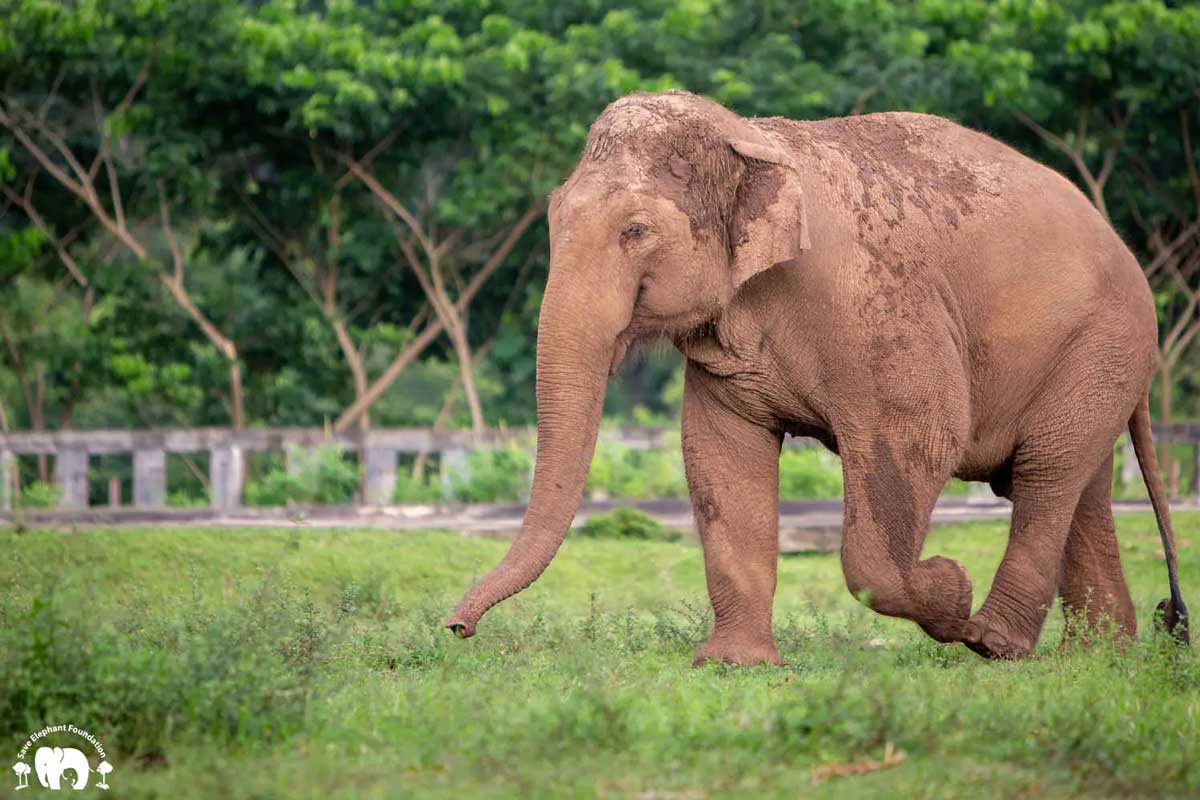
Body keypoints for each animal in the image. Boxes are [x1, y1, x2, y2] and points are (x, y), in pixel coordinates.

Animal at [446, 87, 1185, 666]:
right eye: (553, 219)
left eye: (635, 230)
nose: (456, 626)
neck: (752, 137)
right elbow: (719, 457)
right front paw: (733, 665)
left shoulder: (879, 305)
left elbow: (923, 438)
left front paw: (949, 589)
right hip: (1095, 359)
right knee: (1079, 482)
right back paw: (1101, 656)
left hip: (1105, 341)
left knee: (1045, 472)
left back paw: (993, 642)